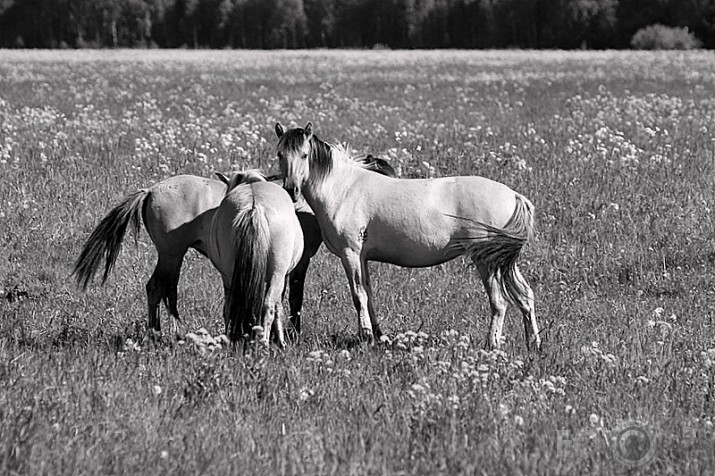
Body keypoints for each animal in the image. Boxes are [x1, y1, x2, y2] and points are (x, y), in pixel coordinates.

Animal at [210, 171, 304, 346]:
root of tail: (254, 206)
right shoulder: (283, 276)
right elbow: (278, 307)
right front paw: (281, 341)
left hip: (231, 275)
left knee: (231, 305)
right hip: (277, 275)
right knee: (268, 306)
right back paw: (263, 343)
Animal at [276, 122, 544, 352]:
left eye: (304, 155)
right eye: (280, 154)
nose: (291, 190)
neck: (343, 188)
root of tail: (514, 195)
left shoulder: (350, 254)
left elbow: (358, 296)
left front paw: (365, 338)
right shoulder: (362, 258)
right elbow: (369, 295)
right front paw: (378, 336)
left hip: (485, 262)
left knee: (499, 302)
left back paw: (492, 345)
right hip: (503, 263)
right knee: (525, 296)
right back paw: (534, 345)